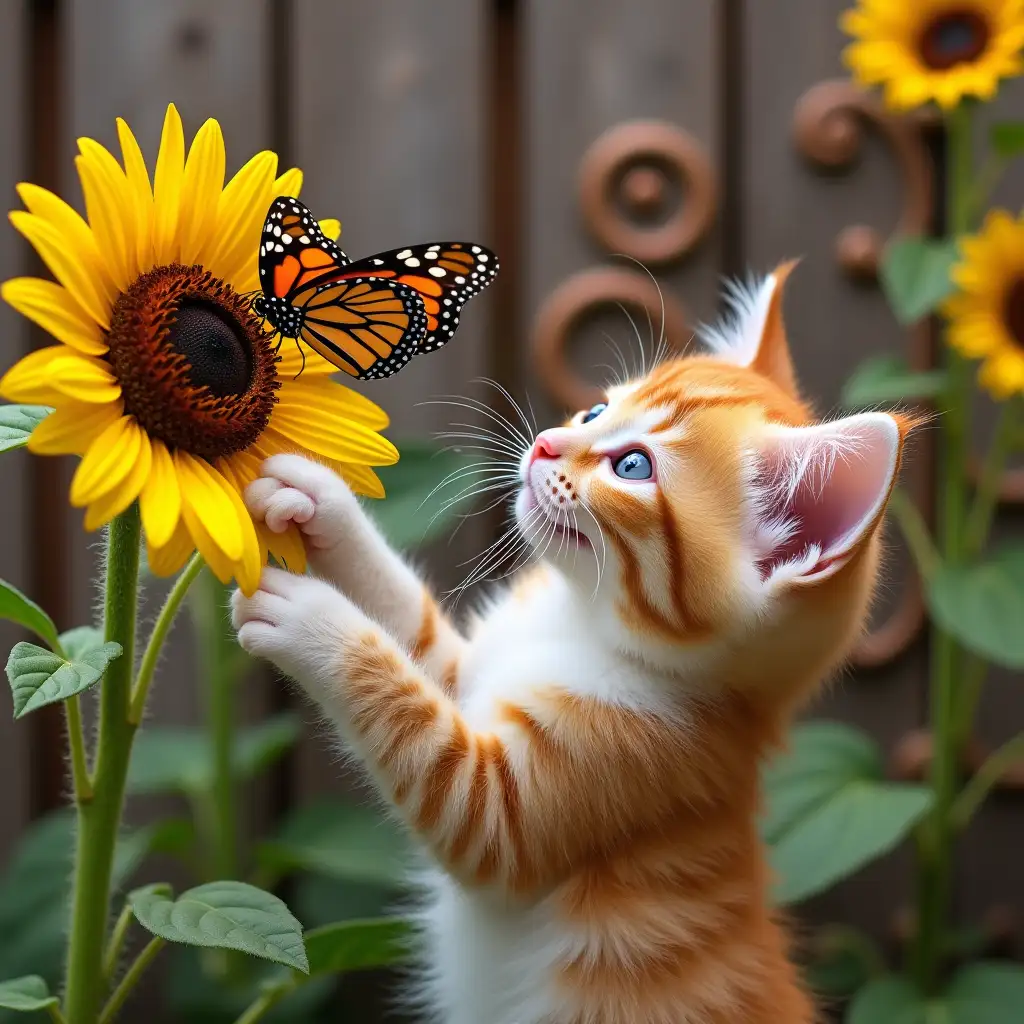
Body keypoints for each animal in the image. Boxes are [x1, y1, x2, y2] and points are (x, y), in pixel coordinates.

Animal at [230, 264, 913, 1024]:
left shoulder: (531, 799)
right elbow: (410, 624)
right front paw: (318, 501)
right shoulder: (468, 672)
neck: (577, 619)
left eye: (634, 467)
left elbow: (414, 724)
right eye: (595, 412)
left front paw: (311, 617)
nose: (547, 443)